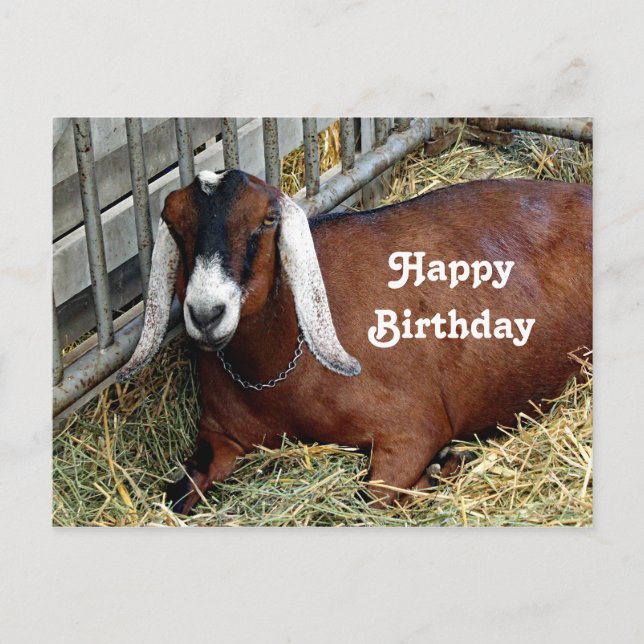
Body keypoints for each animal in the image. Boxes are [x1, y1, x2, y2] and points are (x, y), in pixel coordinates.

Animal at [117, 169, 592, 514]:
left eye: (267, 220)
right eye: (175, 225)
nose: (206, 314)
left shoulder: (412, 429)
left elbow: (367, 500)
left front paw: (446, 464)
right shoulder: (219, 435)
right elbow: (175, 496)